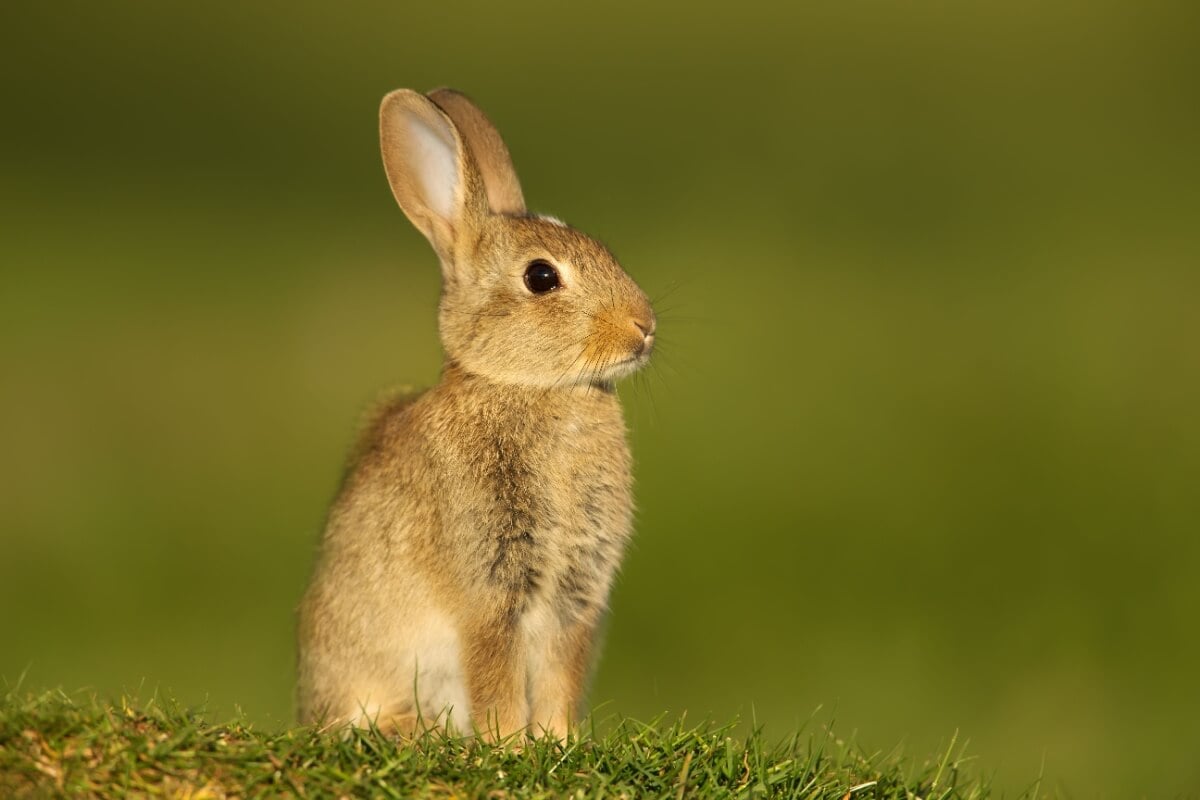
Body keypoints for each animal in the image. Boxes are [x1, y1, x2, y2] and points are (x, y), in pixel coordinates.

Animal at [296, 86, 662, 738]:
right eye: (541, 277)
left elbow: (560, 675)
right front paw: (510, 746)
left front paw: (558, 743)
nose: (643, 327)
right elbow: (495, 673)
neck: (535, 388)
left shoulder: (576, 596)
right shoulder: (489, 587)